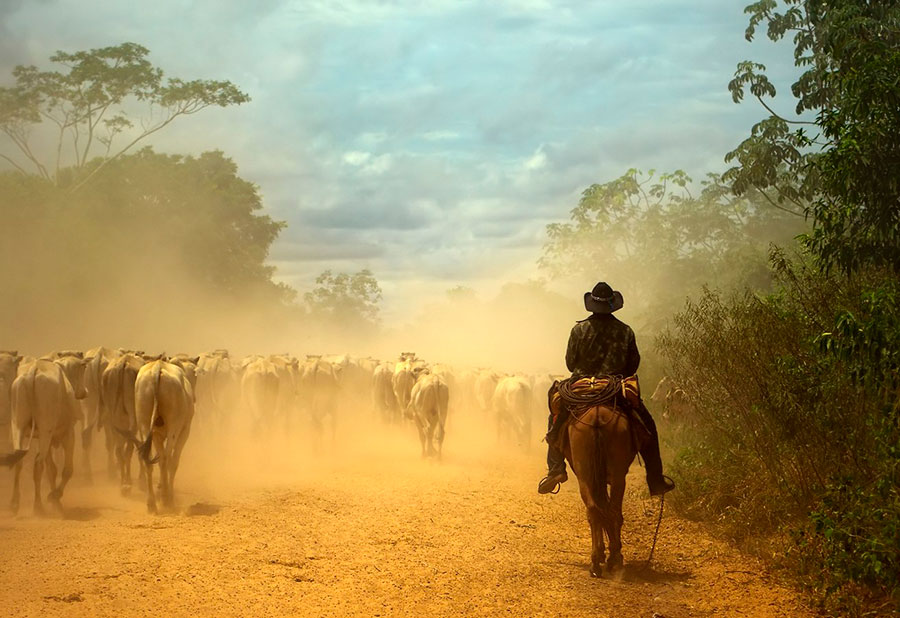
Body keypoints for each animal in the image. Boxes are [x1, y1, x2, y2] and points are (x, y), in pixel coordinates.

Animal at [564, 402, 648, 576]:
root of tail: (597, 417)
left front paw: (604, 553)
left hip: (586, 475)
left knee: (597, 509)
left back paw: (599, 561)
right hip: (614, 476)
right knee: (610, 511)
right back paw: (612, 558)